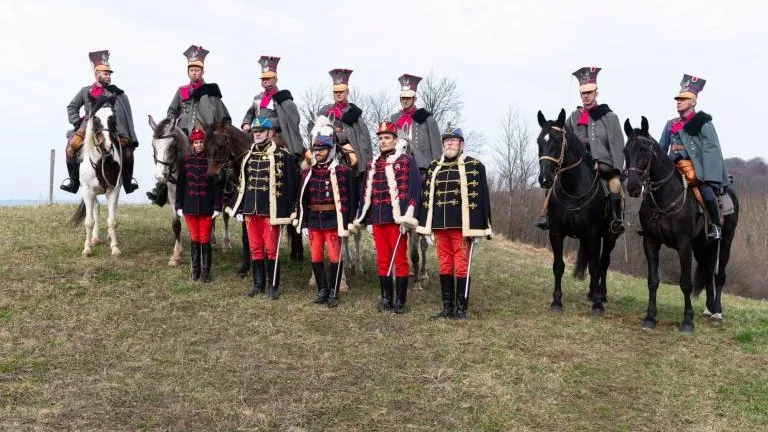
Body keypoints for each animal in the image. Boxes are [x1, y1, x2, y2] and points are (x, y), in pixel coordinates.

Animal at [69, 101, 121, 256]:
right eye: (96, 119)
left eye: (112, 118)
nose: (107, 145)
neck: (101, 160)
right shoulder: (87, 191)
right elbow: (89, 221)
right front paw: (87, 249)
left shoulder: (113, 189)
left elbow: (112, 220)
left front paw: (115, 248)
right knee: (95, 208)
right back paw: (95, 238)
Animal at [540, 109, 616, 316]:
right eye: (539, 141)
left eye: (558, 140)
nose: (545, 178)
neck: (574, 190)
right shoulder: (556, 232)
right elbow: (558, 266)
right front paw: (556, 301)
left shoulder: (593, 233)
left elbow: (597, 267)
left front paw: (597, 306)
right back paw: (592, 292)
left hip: (608, 237)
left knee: (603, 263)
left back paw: (601, 295)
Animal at [624, 116, 736, 332]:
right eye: (626, 150)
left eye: (644, 149)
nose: (633, 186)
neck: (666, 195)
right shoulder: (650, 241)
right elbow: (653, 281)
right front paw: (650, 317)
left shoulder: (684, 244)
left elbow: (685, 283)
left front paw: (687, 321)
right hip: (703, 246)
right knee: (708, 274)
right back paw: (709, 308)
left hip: (724, 243)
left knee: (719, 275)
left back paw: (717, 312)